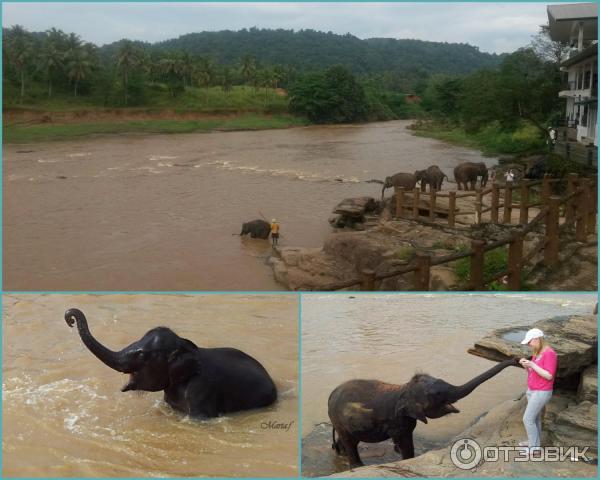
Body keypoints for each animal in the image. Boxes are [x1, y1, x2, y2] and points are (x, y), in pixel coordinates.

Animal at [326, 358, 516, 466]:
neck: (404, 389)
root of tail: (331, 395)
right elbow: (404, 442)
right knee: (350, 441)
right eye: (438, 395)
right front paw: (407, 459)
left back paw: (341, 455)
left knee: (350, 440)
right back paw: (357, 466)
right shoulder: (397, 421)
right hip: (338, 419)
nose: (516, 359)